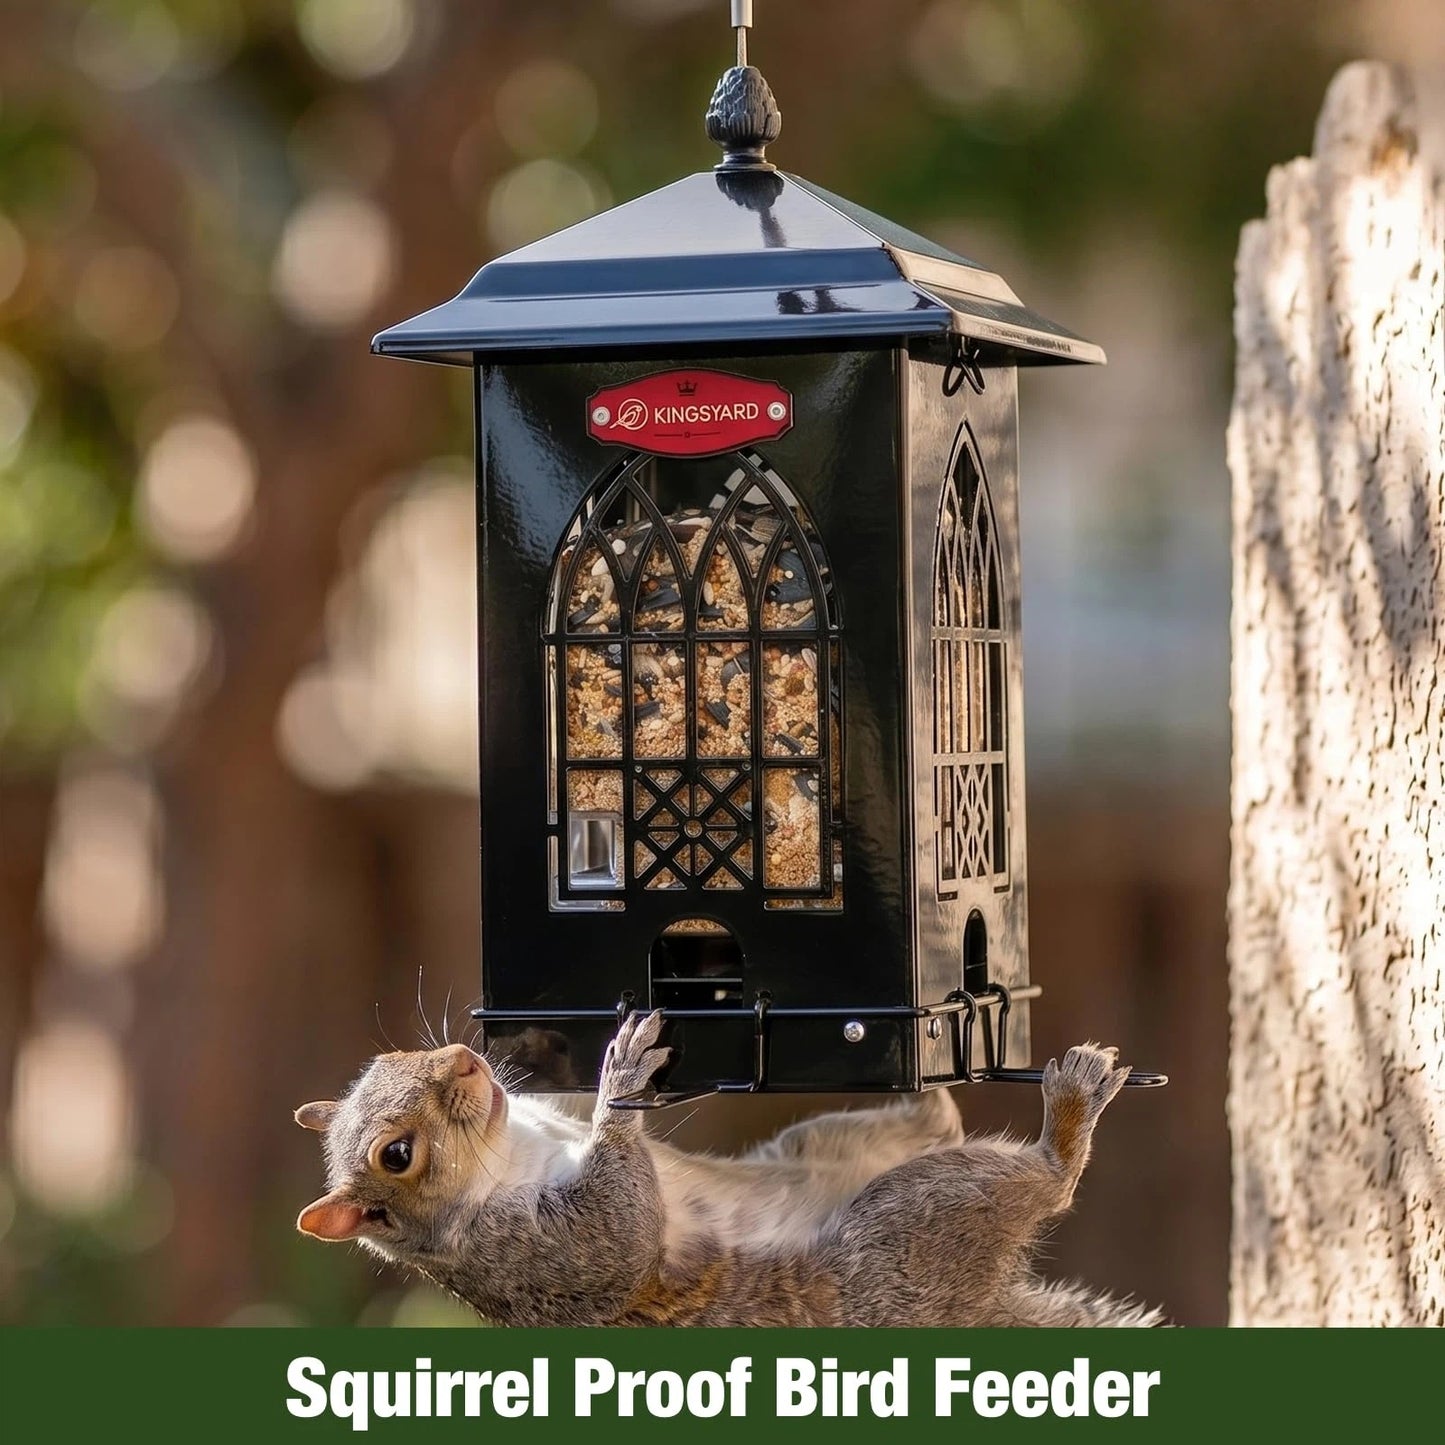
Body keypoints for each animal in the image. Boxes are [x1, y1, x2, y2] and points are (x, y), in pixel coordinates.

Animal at [295, 1011, 1162, 1327]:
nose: (466, 1058)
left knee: (931, 1122)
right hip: (904, 1229)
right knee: (1050, 1183)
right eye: (396, 1154)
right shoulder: (541, 1254)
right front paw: (622, 1079)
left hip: (825, 1146)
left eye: (389, 1056)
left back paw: (928, 1074)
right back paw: (1066, 1116)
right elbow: (622, 1230)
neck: (508, 1150)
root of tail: (974, 1312)